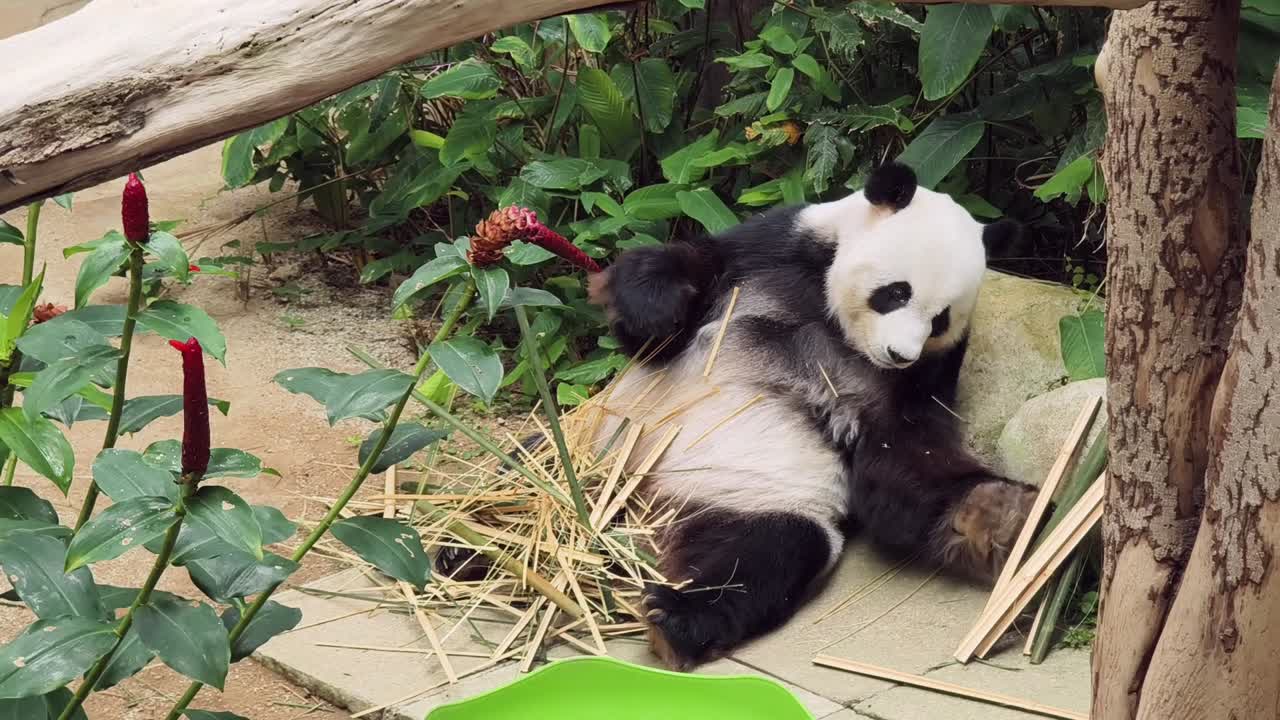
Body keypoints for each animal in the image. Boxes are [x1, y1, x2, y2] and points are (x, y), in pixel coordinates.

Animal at [582, 162, 1039, 671]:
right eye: (896, 293)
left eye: (941, 319)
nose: (899, 354)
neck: (837, 327)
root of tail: (642, 519)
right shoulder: (771, 253)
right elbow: (680, 284)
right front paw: (656, 311)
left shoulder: (921, 378)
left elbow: (900, 459)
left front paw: (998, 510)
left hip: (747, 497)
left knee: (767, 551)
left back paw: (677, 620)